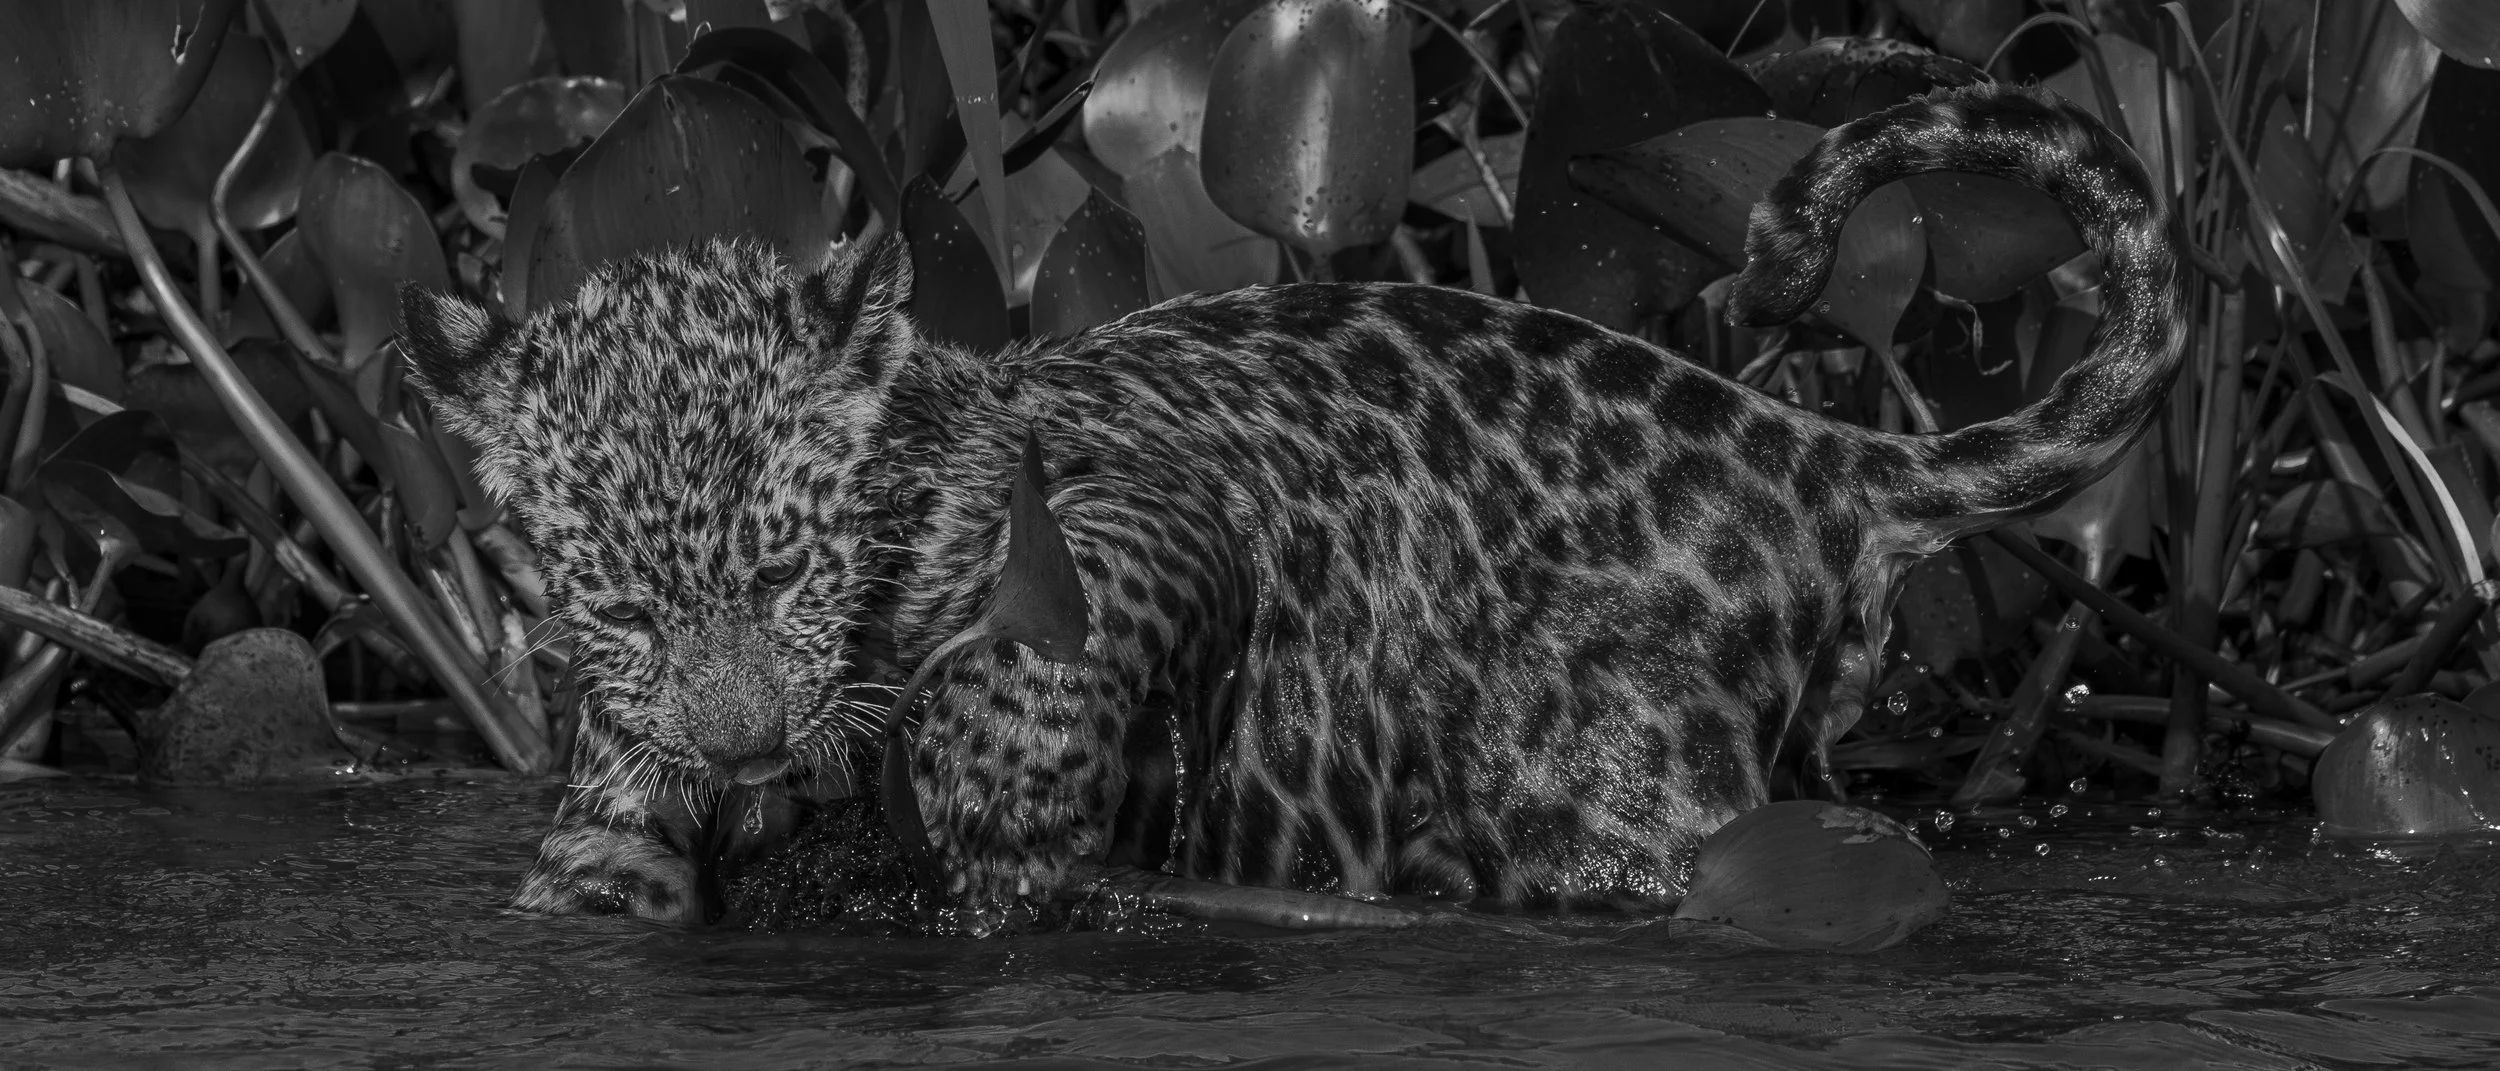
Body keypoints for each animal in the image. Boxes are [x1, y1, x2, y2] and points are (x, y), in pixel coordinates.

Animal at [399, 83, 2182, 928]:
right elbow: (601, 874)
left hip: (1615, 790)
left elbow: (1067, 616)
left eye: (788, 575)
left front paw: (998, 800)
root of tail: (1800, 441)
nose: (748, 744)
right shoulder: (615, 818)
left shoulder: (1139, 489)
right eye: (619, 605)